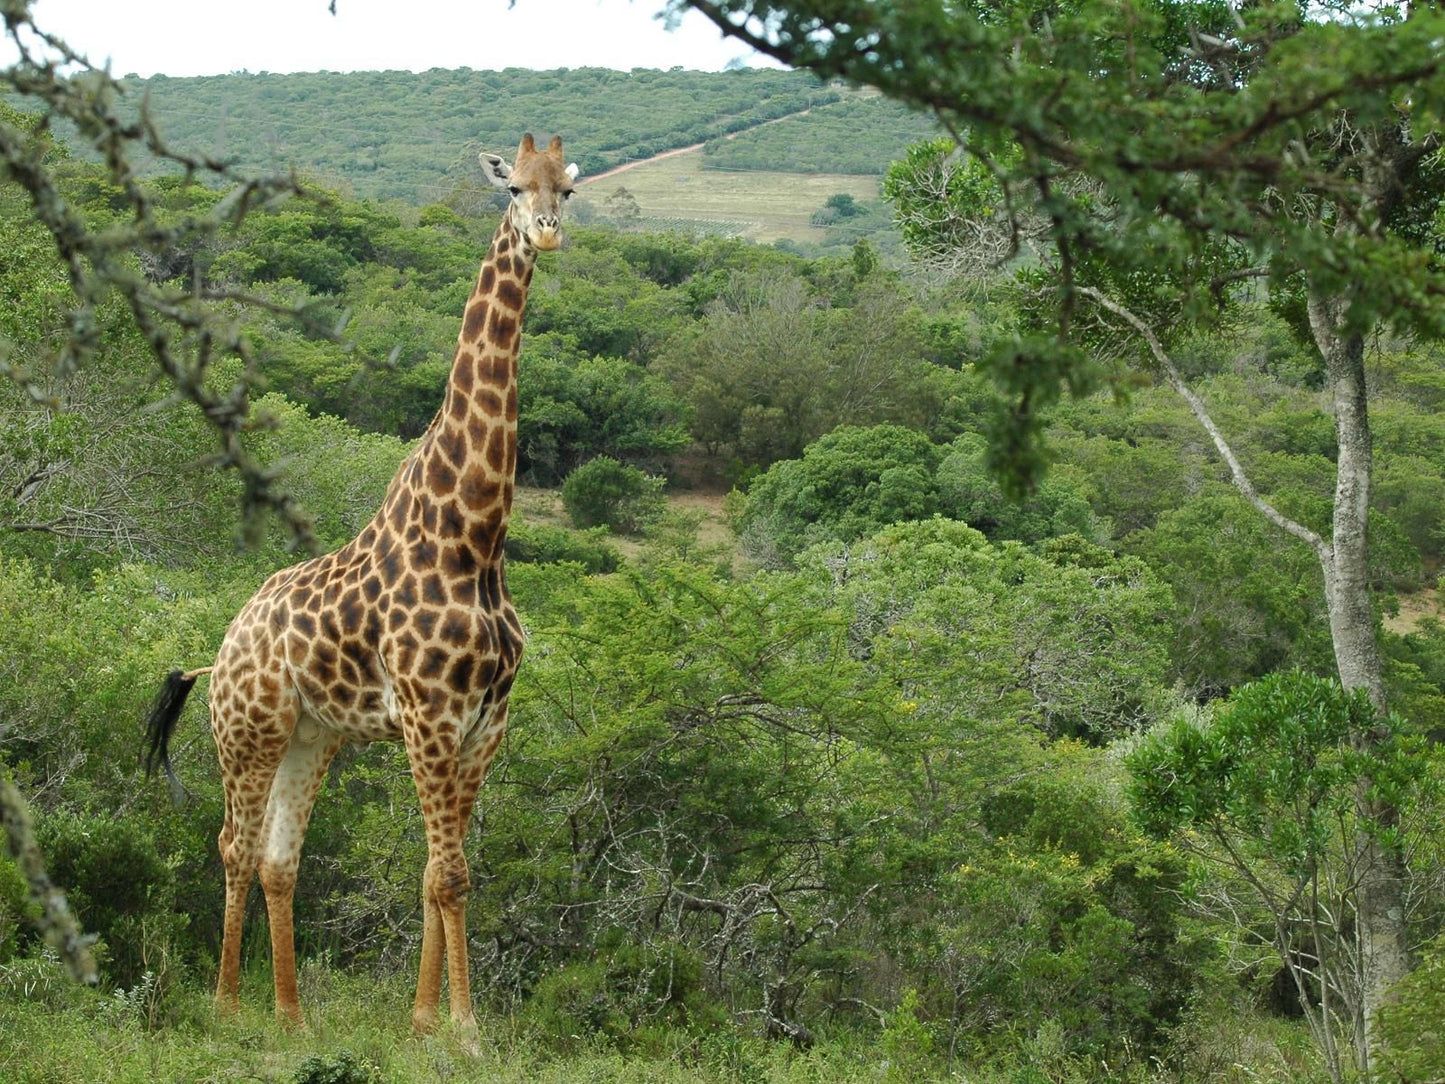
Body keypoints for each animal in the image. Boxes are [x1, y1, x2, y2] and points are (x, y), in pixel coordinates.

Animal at [142, 135, 580, 1046]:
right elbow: (449, 875)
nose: (547, 233)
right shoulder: (428, 714)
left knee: (279, 859)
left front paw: (422, 1023)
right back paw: (227, 1006)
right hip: (246, 730)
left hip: (313, 736)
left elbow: (437, 870)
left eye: (567, 187)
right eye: (512, 189)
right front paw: (466, 1032)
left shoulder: (485, 722)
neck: (472, 536)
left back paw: (291, 1015)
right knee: (234, 846)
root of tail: (219, 650)